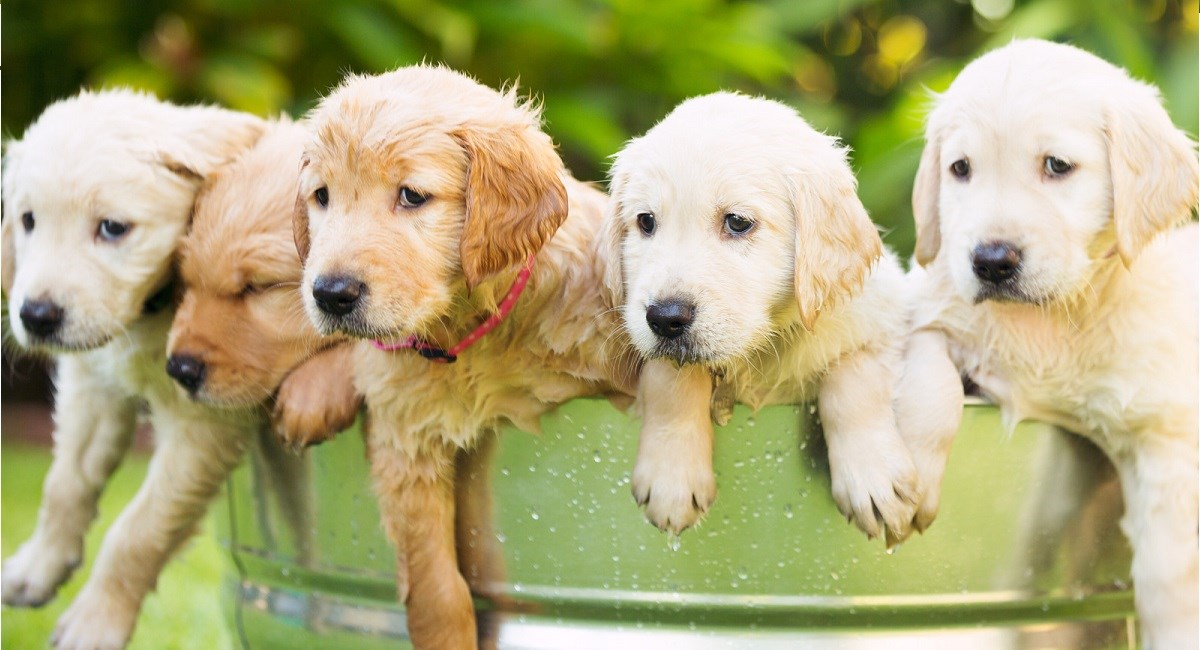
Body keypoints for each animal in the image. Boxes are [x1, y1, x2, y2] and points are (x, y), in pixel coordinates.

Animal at [0, 89, 262, 647]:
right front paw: (37, 567)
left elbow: (138, 529)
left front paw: (95, 622)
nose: (36, 316)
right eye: (29, 220)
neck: (153, 310)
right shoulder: (94, 383)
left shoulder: (205, 423)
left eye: (113, 228)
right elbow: (65, 482)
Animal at [290, 67, 638, 650]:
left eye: (412, 196)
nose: (330, 294)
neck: (470, 332)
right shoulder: (406, 439)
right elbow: (437, 588)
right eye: (322, 196)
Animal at [609, 92, 955, 544]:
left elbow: (852, 373)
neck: (763, 344)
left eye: (737, 222)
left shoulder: (882, 322)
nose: (665, 318)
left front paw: (873, 477)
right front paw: (672, 477)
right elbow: (670, 377)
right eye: (645, 221)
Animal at [907, 40, 1200, 650]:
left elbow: (1168, 572)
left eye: (1057, 166)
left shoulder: (1169, 436)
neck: (1056, 315)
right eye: (960, 169)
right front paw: (911, 474)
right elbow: (926, 364)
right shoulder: (927, 302)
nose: (991, 261)